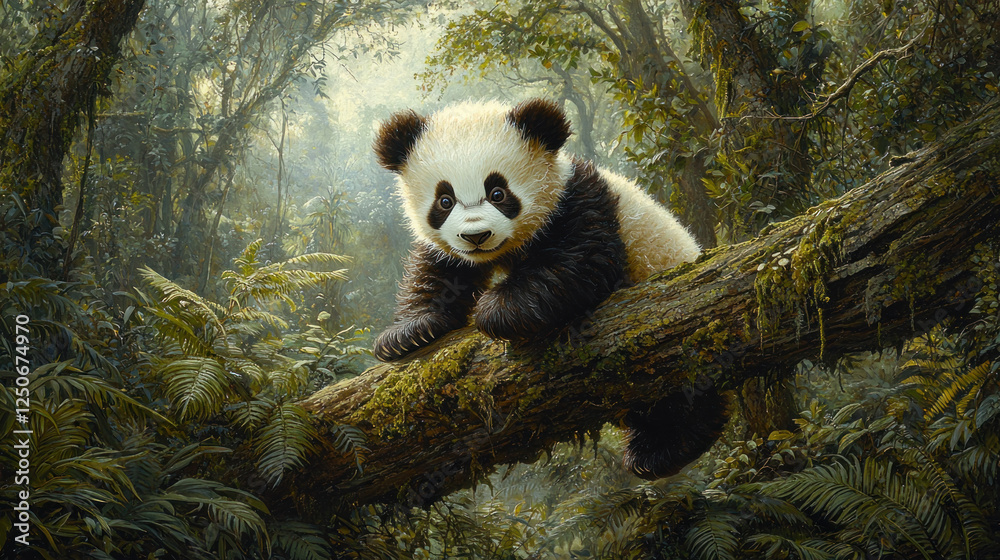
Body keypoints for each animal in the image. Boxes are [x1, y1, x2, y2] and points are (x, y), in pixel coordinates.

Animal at [372, 98, 727, 480]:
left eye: (498, 193)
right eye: (445, 200)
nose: (476, 236)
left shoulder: (579, 201)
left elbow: (580, 262)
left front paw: (495, 310)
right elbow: (439, 269)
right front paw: (408, 333)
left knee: (686, 393)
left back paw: (667, 448)